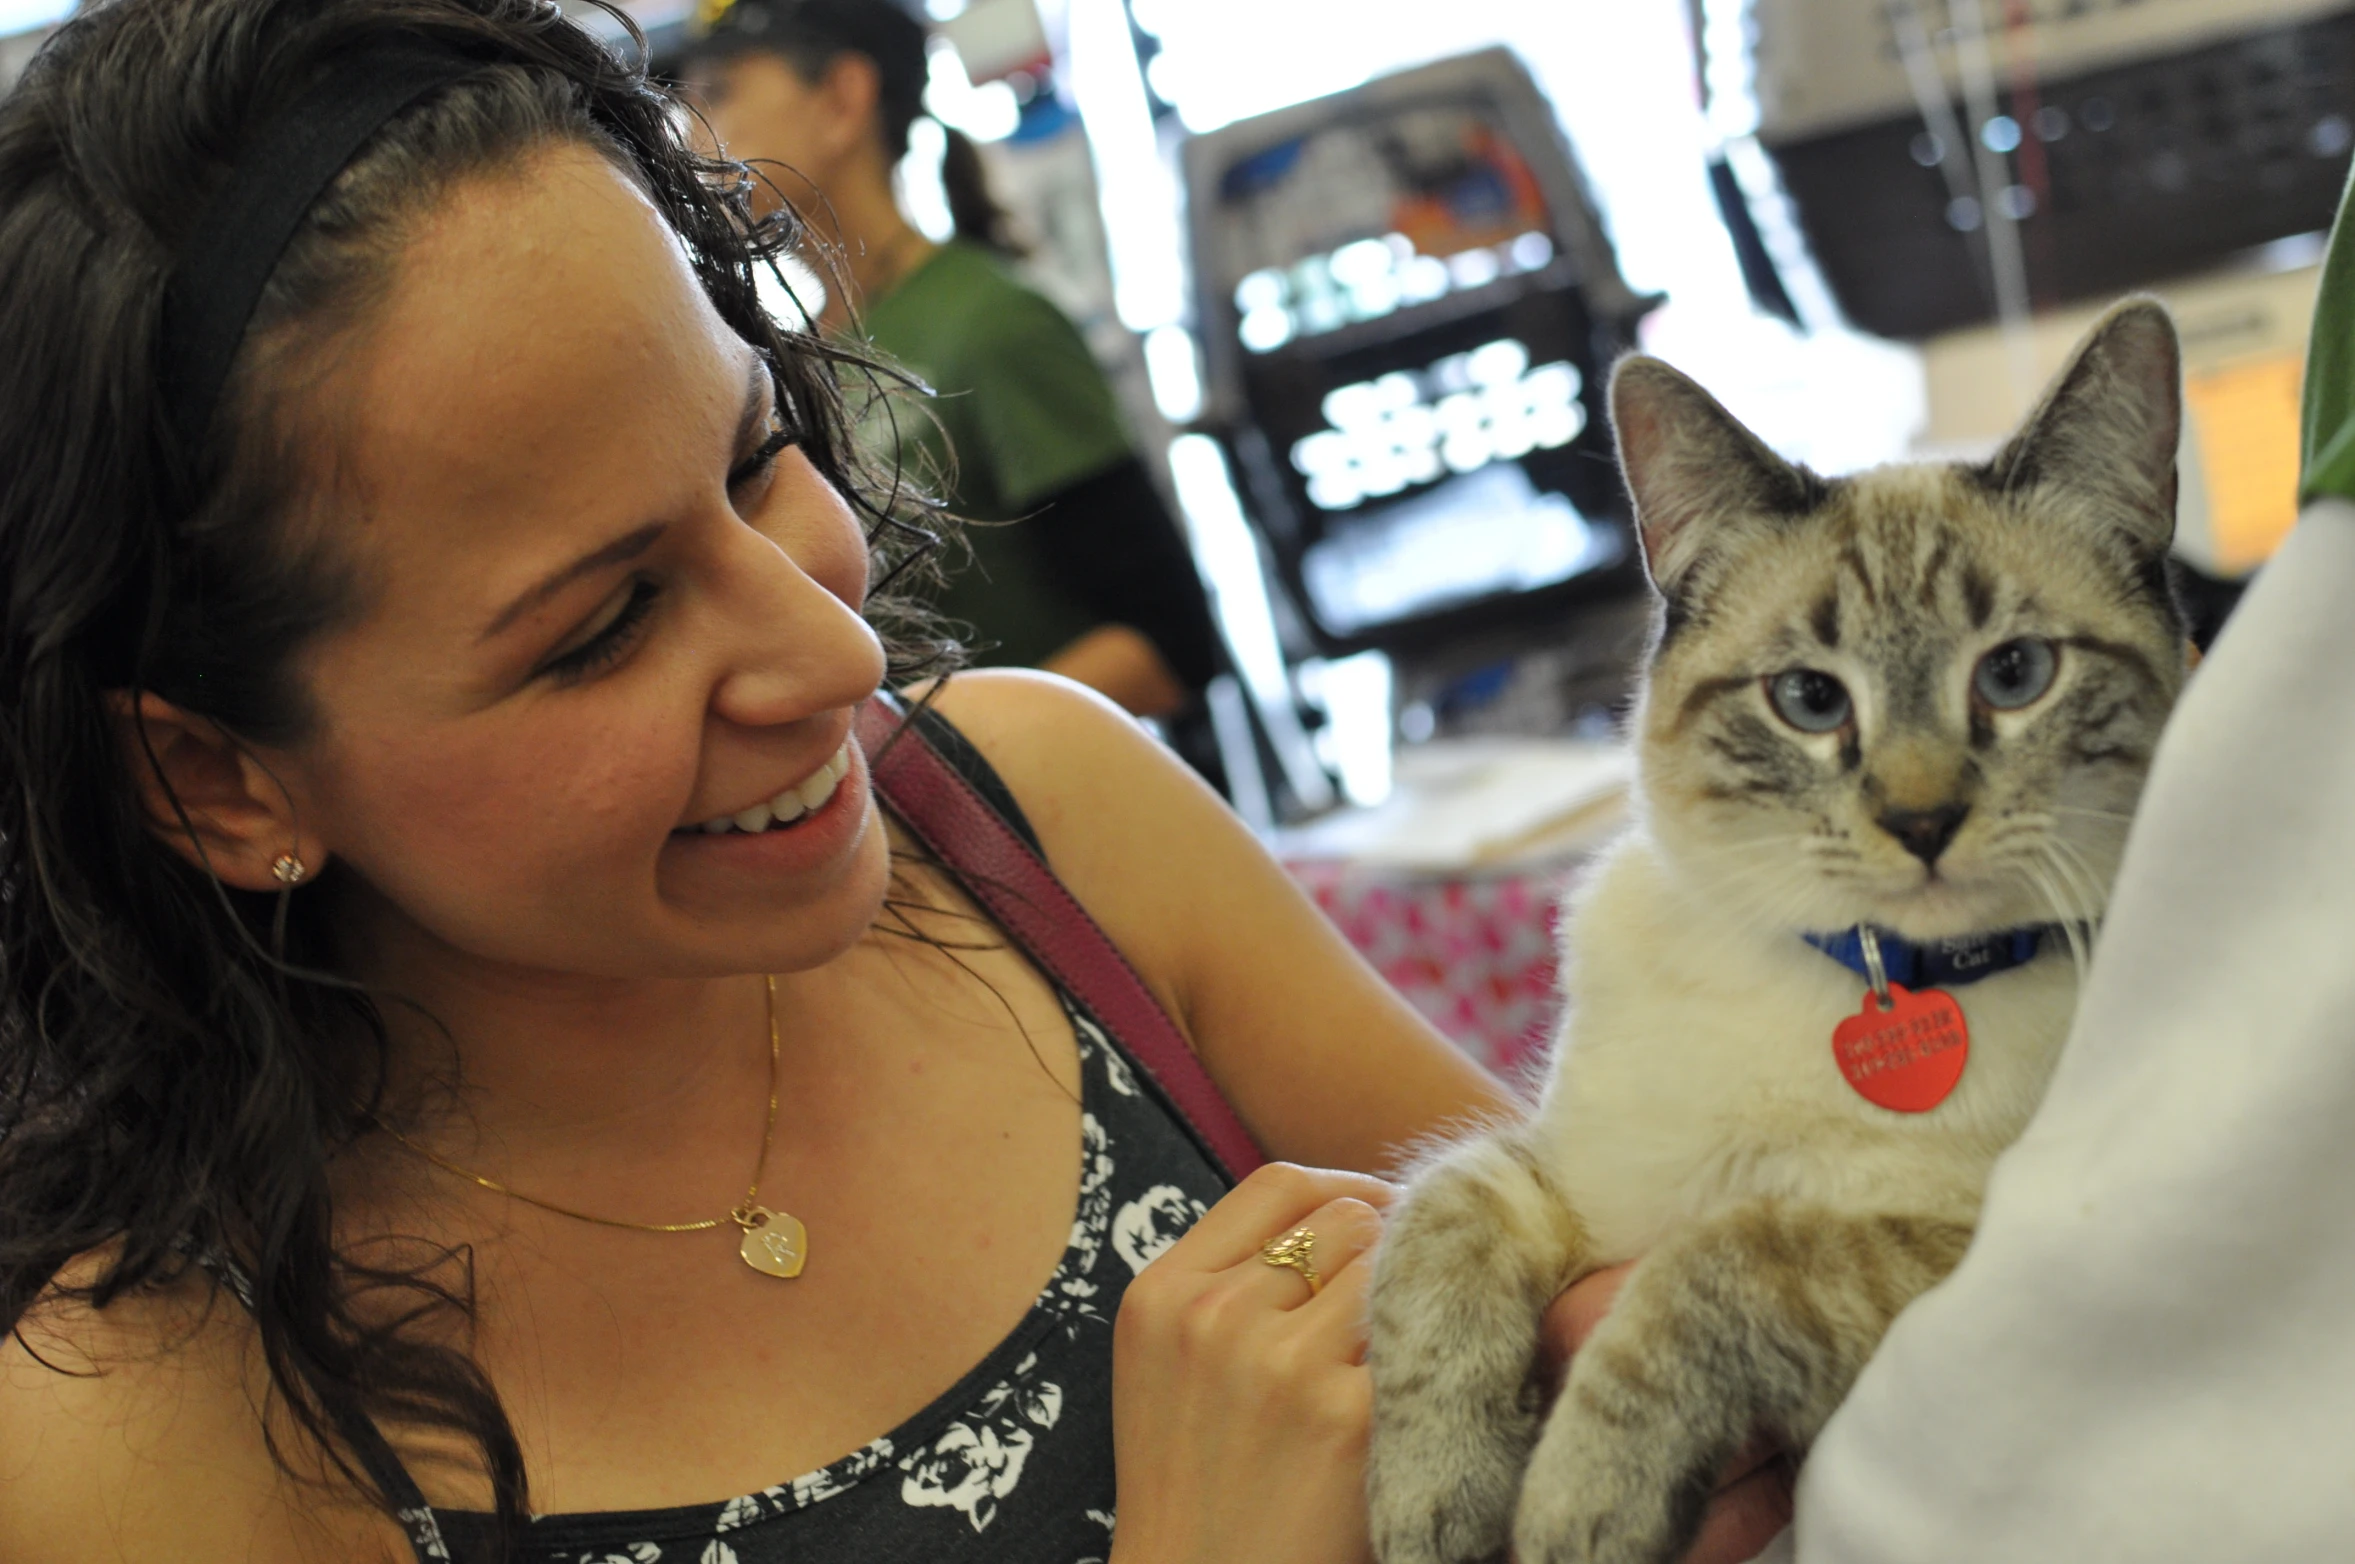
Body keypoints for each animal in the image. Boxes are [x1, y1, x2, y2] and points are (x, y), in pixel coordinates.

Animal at [1365, 296, 2185, 1564]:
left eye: (2013, 675)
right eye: (1809, 700)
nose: (1922, 822)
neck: (1864, 972)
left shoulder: (1941, 1259)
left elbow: (1722, 1257)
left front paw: (1576, 1505)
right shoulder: (1577, 1182)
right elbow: (1438, 1213)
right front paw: (1434, 1500)